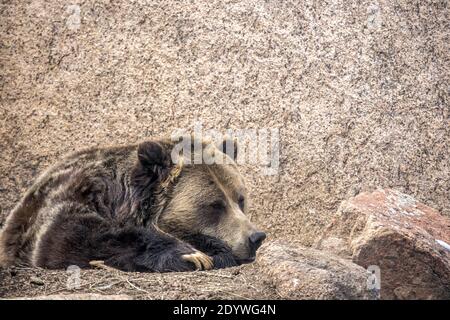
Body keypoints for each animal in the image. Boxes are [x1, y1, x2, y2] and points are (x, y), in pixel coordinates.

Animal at [0, 136, 266, 272]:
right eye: (215, 205)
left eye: (240, 199)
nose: (256, 237)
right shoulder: (75, 194)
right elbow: (66, 236)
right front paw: (191, 254)